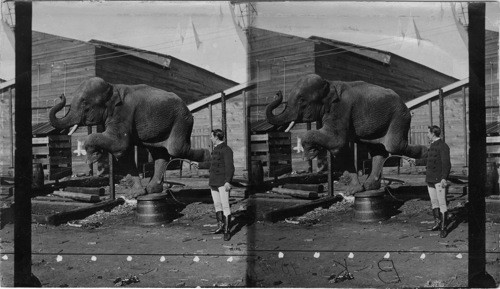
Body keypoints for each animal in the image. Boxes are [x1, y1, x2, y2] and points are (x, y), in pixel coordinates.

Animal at [49, 75, 209, 197]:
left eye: (85, 104)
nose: (61, 95)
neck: (112, 87)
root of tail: (187, 108)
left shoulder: (123, 113)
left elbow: (120, 145)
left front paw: (92, 158)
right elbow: (123, 152)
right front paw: (136, 194)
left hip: (182, 120)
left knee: (176, 149)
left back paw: (207, 155)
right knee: (160, 153)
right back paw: (152, 189)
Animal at [266, 72, 426, 194]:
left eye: (302, 100)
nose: (277, 93)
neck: (329, 83)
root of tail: (404, 104)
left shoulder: (341, 108)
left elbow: (337, 141)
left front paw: (309, 154)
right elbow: (339, 148)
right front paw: (354, 191)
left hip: (400, 117)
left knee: (394, 146)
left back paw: (426, 152)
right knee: (377, 150)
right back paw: (369, 186)